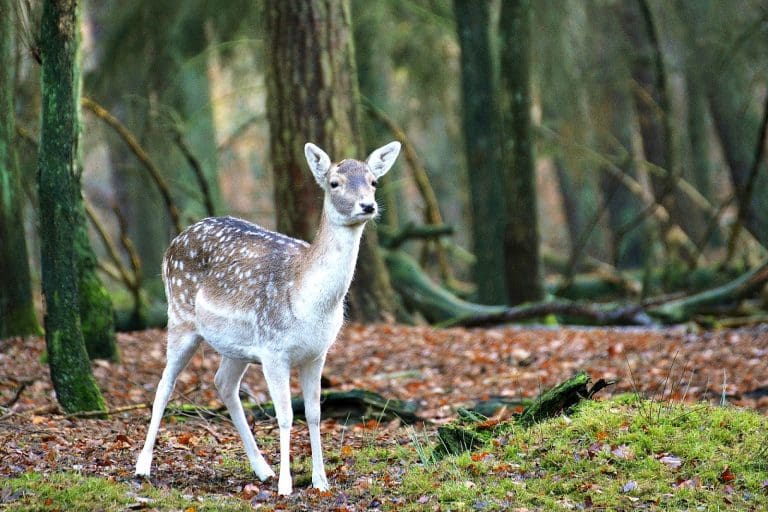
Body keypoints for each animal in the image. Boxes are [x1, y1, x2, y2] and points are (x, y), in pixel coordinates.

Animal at [134, 141, 401, 495]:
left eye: (373, 181)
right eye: (334, 183)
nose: (367, 205)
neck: (309, 303)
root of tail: (173, 242)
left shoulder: (317, 354)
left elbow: (314, 413)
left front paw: (320, 481)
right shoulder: (275, 351)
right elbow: (286, 415)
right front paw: (287, 485)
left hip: (236, 346)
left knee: (223, 383)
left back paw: (262, 469)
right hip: (180, 317)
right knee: (165, 384)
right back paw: (142, 467)